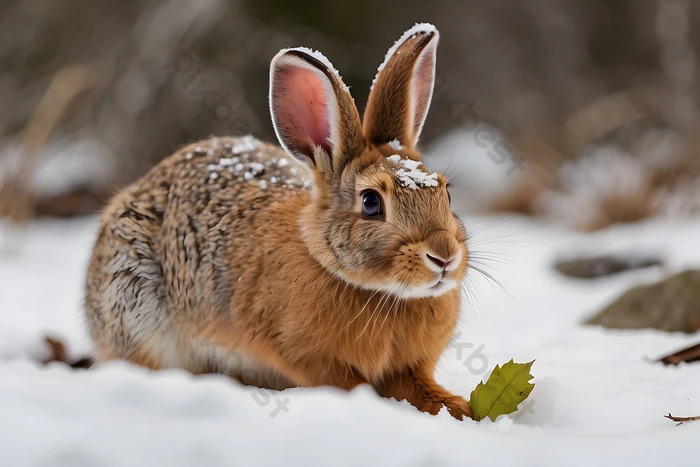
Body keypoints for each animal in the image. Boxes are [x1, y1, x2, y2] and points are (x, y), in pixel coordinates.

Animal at [85, 22, 474, 420]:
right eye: (370, 203)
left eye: (446, 193)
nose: (444, 256)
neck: (381, 292)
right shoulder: (305, 355)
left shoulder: (409, 368)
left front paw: (461, 409)